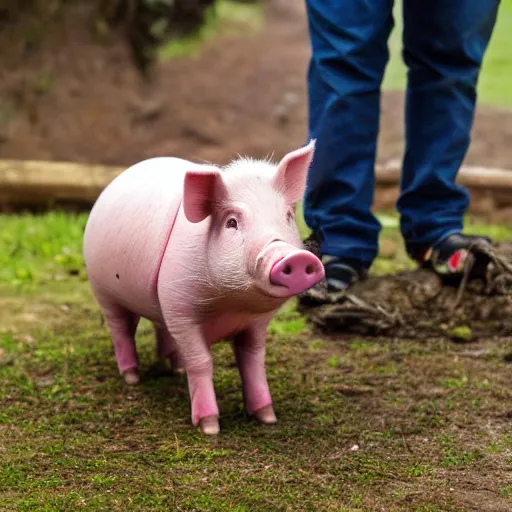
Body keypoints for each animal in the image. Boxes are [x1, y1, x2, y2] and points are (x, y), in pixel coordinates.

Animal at [83, 141, 324, 436]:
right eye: (232, 222)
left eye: (288, 216)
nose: (294, 257)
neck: (232, 306)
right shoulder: (183, 311)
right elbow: (202, 361)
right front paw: (210, 428)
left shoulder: (254, 321)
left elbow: (253, 360)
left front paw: (268, 418)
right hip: (103, 290)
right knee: (121, 330)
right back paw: (132, 377)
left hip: (160, 301)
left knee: (161, 327)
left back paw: (174, 369)